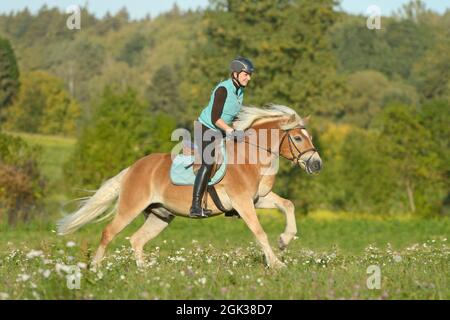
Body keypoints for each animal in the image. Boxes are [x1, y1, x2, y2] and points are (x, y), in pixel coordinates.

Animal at [57, 104, 324, 268]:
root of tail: (132, 168)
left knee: (136, 240)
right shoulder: (242, 202)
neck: (250, 156)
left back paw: (144, 272)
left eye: (308, 136)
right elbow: (259, 232)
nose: (317, 164)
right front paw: (277, 263)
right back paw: (95, 269)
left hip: (160, 215)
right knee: (108, 233)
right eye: (298, 137)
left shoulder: (257, 199)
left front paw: (284, 241)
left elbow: (288, 205)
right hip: (130, 207)